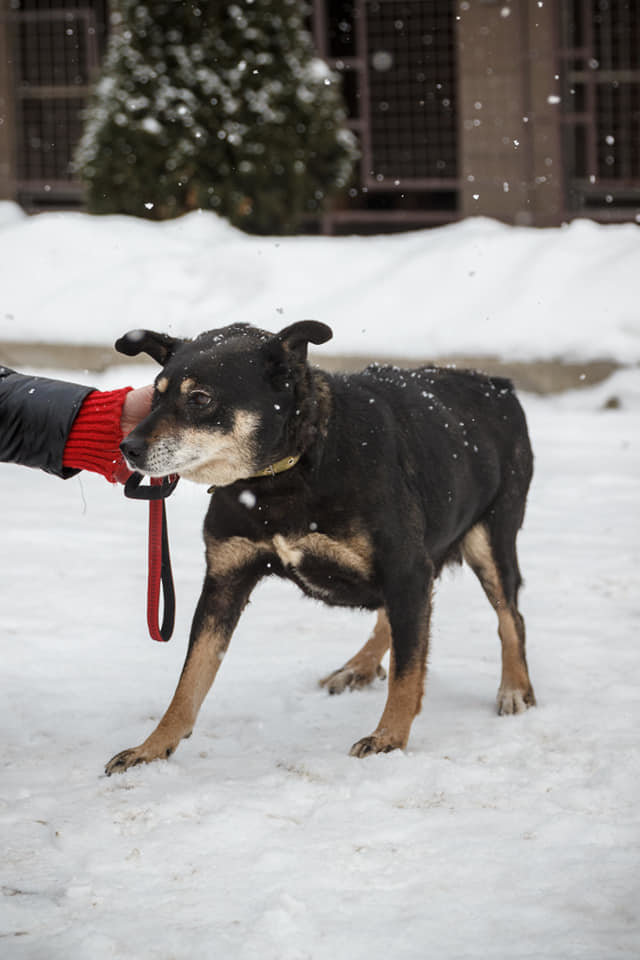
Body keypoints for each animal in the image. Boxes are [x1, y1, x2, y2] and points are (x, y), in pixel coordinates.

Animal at [106, 320, 536, 772]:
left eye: (200, 398)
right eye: (156, 395)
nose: (128, 447)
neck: (284, 475)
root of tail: (494, 383)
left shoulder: (406, 568)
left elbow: (407, 671)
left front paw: (389, 738)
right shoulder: (226, 579)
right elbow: (191, 678)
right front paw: (153, 746)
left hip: (490, 540)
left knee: (510, 617)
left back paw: (514, 688)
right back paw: (360, 666)